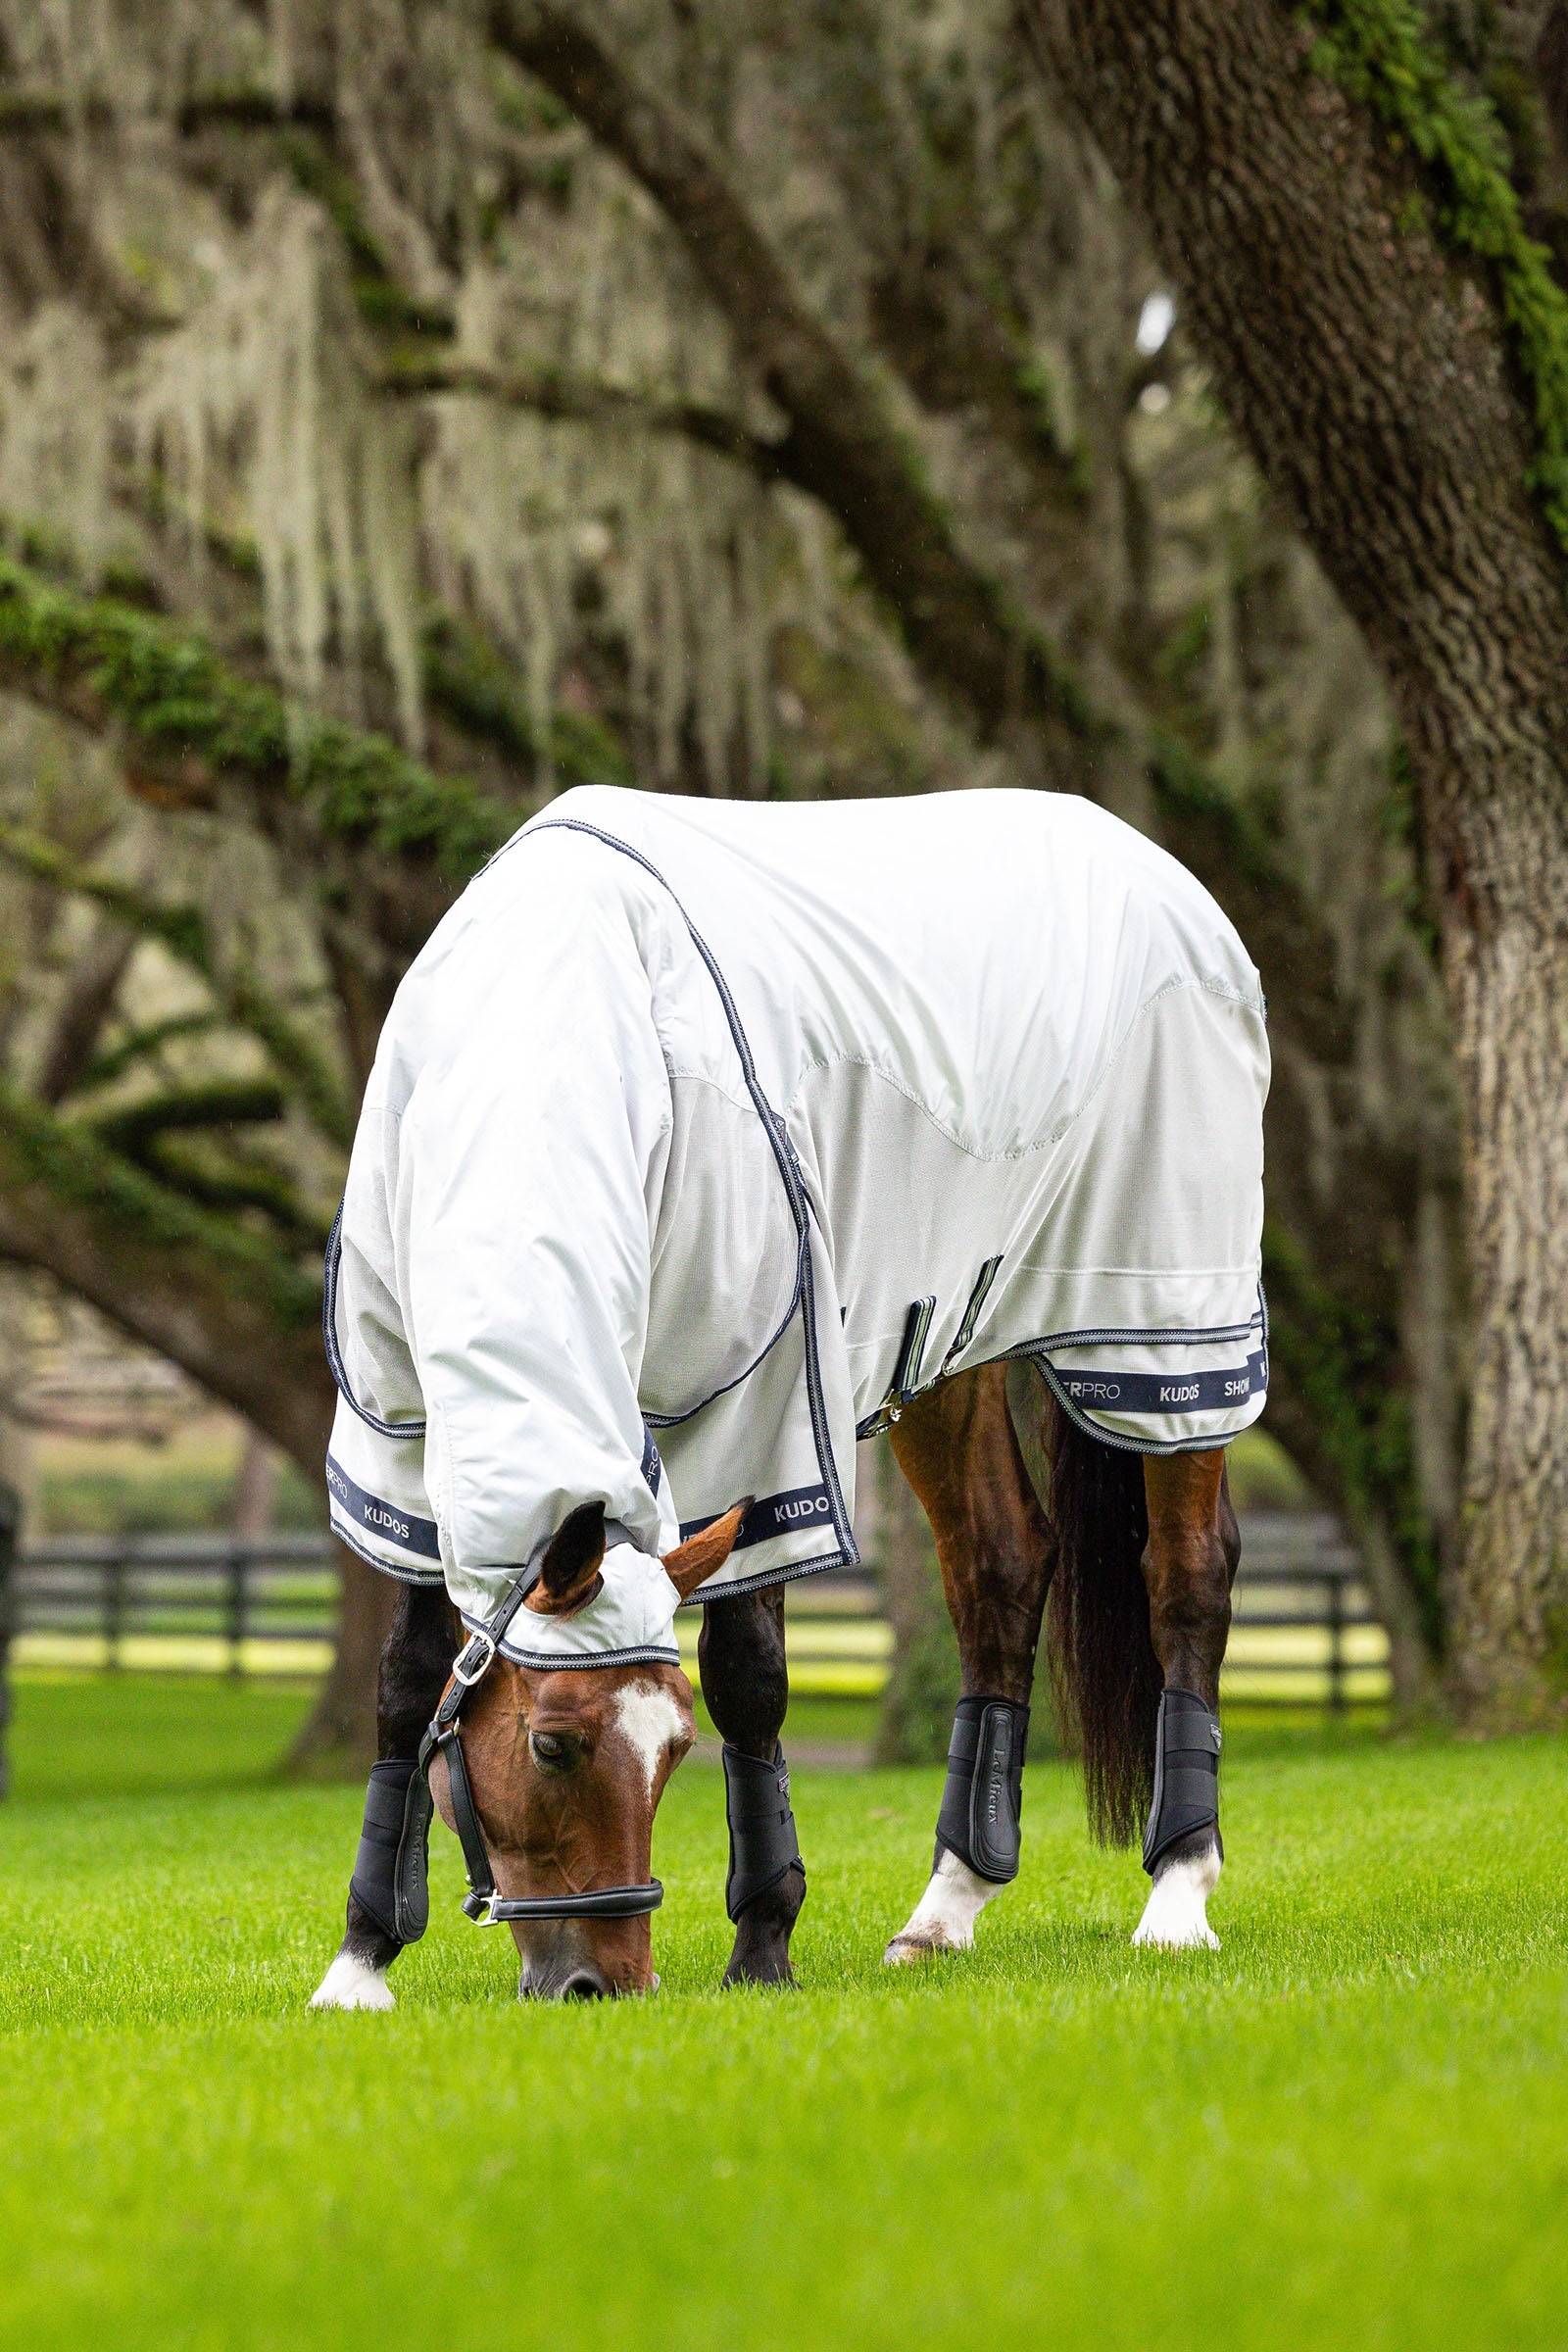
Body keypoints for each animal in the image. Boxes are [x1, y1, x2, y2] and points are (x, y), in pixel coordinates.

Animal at [308, 785, 1266, 2007]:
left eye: (673, 1747)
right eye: (553, 1743)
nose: (600, 1985)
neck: (547, 1035)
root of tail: (1152, 864)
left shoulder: (756, 1424)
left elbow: (750, 1678)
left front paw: (762, 1943)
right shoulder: (397, 1437)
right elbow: (409, 1680)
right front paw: (359, 1961)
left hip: (1166, 1328)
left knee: (1186, 1575)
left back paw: (1177, 1897)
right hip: (941, 1341)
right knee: (999, 1568)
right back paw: (944, 1910)